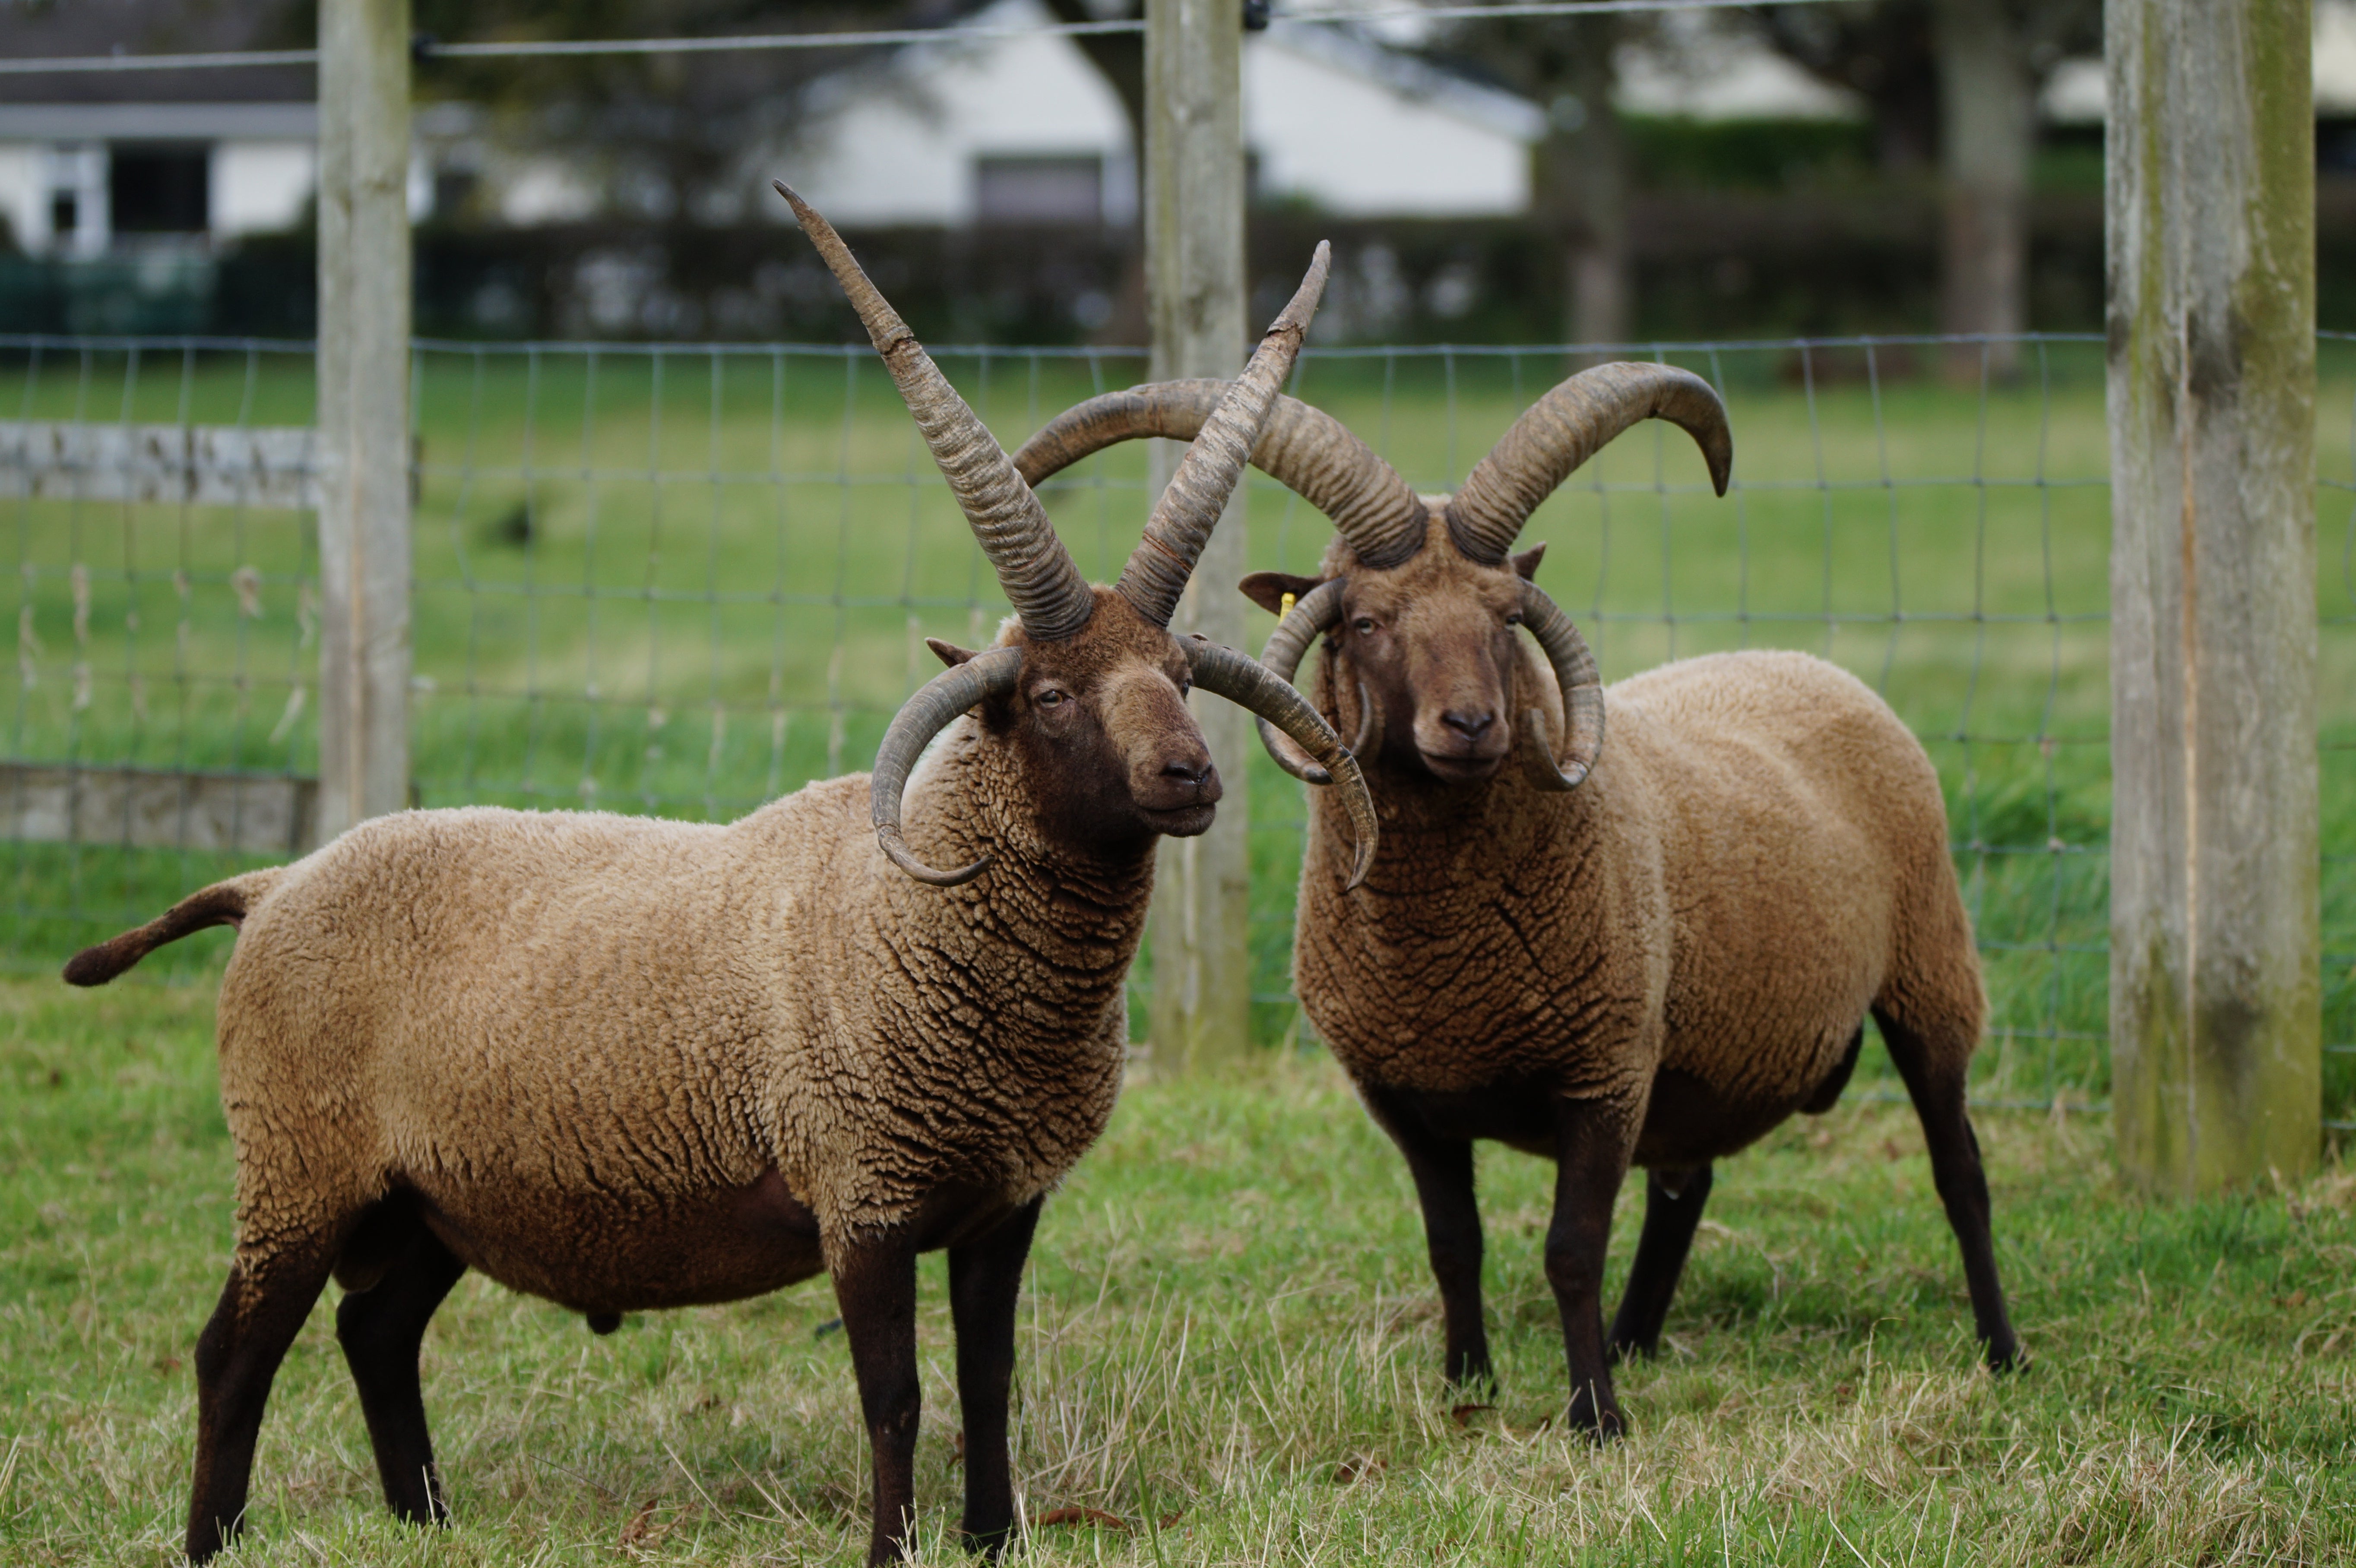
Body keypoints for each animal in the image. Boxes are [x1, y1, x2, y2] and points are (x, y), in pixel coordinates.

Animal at [60, 188, 1376, 1566]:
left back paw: (425, 1518)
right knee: (233, 1350)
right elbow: (896, 1395)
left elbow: (990, 1378)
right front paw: (893, 1550)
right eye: (1055, 695)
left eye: (1177, 675)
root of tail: (273, 882)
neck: (913, 917)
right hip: (296, 1169)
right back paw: (213, 1539)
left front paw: (992, 1540)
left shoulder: (1000, 1204)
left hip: (428, 1196)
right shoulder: (864, 1189)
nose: (1188, 776)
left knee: (375, 1330)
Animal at [1010, 363, 2020, 1438]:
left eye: (1504, 618)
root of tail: (1806, 662)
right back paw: (1635, 1339)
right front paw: (1469, 1385)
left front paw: (1596, 1419)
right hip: (1704, 1042)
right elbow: (1455, 1245)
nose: (1470, 724)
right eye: (1365, 620)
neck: (1445, 950)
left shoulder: (1604, 1068)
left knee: (1960, 1172)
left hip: (1928, 974)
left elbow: (1569, 1249)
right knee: (1685, 1180)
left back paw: (2000, 1351)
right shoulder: (1407, 1093)